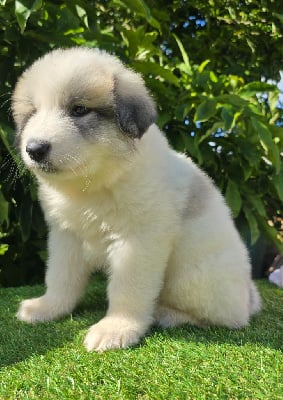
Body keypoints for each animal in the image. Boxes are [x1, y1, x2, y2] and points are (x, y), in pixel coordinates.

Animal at [12, 48, 262, 352]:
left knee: (225, 318)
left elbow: (128, 288)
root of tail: (249, 296)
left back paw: (167, 314)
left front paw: (116, 328)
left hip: (192, 277)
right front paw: (47, 308)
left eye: (79, 110)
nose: (34, 149)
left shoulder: (138, 242)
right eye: (32, 113)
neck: (92, 184)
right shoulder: (66, 236)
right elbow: (61, 277)